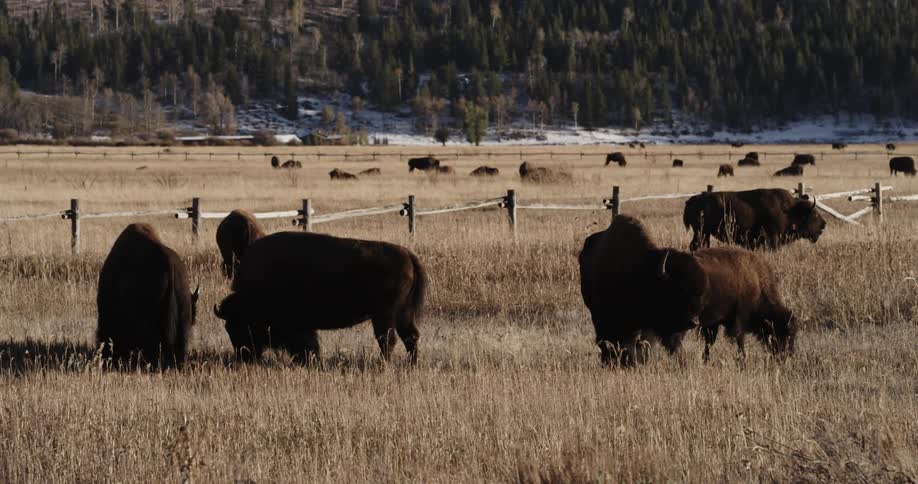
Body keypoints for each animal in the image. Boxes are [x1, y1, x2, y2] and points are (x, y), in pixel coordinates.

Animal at [213, 232, 426, 364]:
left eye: (236, 325)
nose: (244, 356)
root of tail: (408, 255)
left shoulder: (298, 326)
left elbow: (307, 344)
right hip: (402, 313)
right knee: (410, 336)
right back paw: (410, 365)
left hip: (384, 315)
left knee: (387, 339)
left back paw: (383, 365)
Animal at [683, 188, 825, 250]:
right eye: (814, 214)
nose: (823, 225)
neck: (790, 210)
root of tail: (692, 199)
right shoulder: (773, 238)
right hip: (701, 233)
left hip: (704, 234)